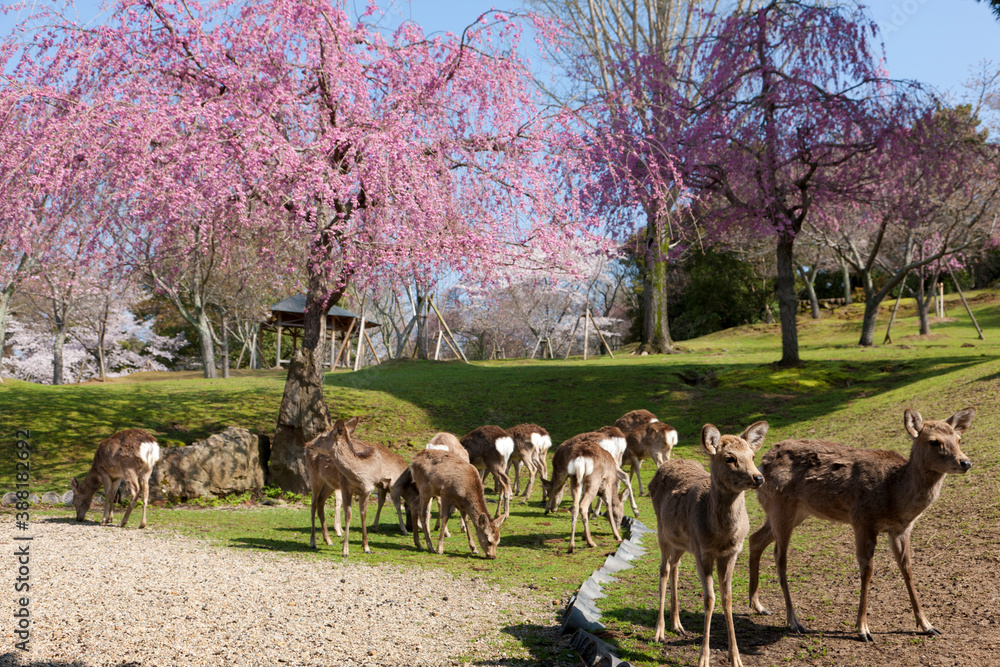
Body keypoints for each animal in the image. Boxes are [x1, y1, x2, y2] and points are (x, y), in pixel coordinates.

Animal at [648, 422, 764, 667]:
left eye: (752, 455)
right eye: (729, 458)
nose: (758, 477)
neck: (721, 536)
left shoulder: (732, 552)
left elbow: (727, 598)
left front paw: (735, 658)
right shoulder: (703, 551)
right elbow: (709, 599)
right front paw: (703, 658)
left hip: (682, 543)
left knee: (675, 567)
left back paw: (677, 624)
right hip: (662, 531)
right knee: (664, 570)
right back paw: (659, 631)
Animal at [752, 408, 976, 640]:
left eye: (959, 439)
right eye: (934, 441)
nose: (965, 462)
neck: (895, 494)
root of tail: (761, 463)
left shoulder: (900, 529)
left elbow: (907, 568)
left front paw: (927, 625)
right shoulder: (862, 520)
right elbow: (867, 570)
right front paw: (863, 629)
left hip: (794, 512)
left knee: (755, 539)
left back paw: (758, 606)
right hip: (781, 506)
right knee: (779, 556)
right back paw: (794, 622)